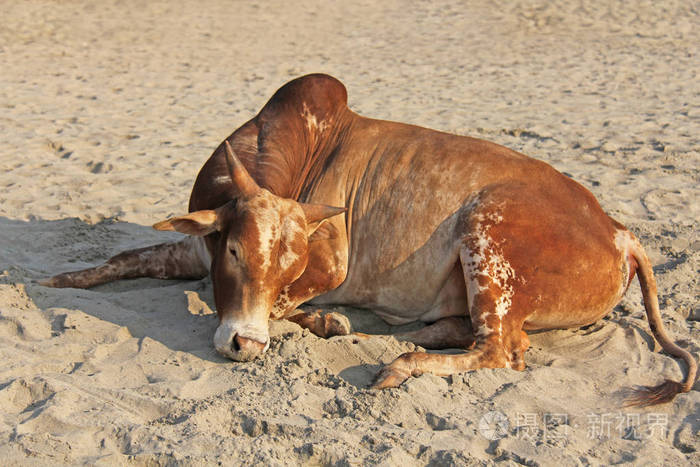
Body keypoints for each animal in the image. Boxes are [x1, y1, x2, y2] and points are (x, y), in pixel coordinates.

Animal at [42, 73, 696, 406]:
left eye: (288, 265)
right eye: (233, 250)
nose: (244, 347)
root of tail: (619, 232)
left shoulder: (328, 265)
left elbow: (286, 306)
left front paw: (326, 322)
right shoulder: (196, 243)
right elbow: (124, 258)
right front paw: (60, 278)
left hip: (488, 230)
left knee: (501, 350)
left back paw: (399, 363)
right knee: (472, 334)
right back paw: (407, 333)